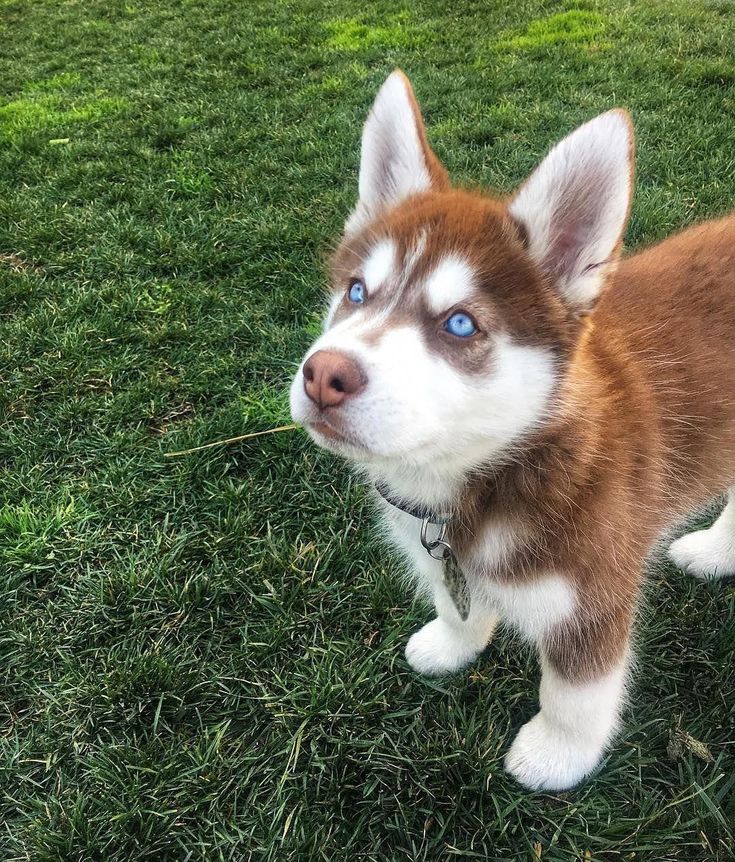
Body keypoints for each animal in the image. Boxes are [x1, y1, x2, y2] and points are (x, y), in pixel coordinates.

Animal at [288, 71, 735, 792]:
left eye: (460, 324)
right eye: (356, 292)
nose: (324, 374)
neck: (492, 473)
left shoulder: (591, 593)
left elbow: (575, 691)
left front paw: (556, 755)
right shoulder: (436, 550)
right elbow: (456, 602)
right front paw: (453, 644)